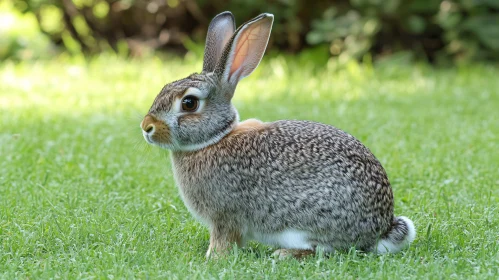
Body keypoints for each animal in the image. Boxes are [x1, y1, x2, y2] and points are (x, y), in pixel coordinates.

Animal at [139, 11, 416, 258]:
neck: (215, 138)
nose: (146, 127)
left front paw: (212, 258)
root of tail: (382, 228)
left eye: (189, 103)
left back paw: (284, 254)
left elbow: (223, 241)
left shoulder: (224, 217)